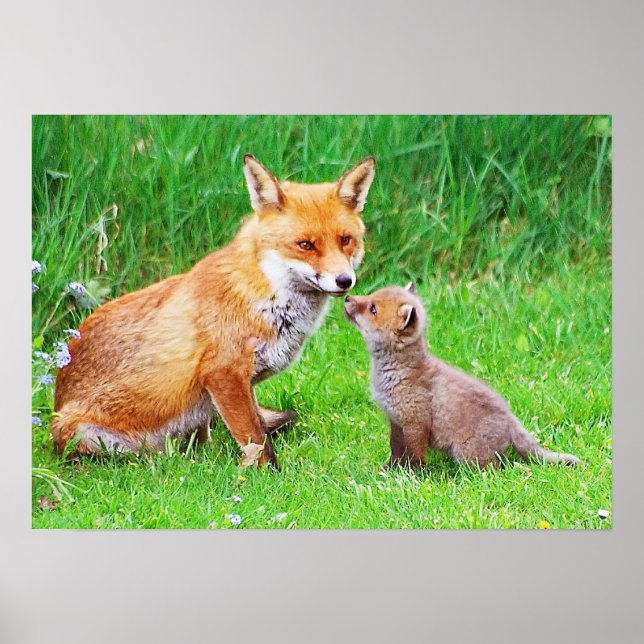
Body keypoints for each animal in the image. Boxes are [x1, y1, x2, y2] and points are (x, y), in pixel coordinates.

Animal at [52, 154, 376, 467]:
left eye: (345, 240)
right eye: (305, 245)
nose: (345, 281)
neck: (263, 295)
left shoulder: (238, 385)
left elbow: (255, 430)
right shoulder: (224, 374)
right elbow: (258, 440)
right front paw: (268, 476)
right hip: (90, 436)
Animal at [344, 284, 580, 469]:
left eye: (373, 309)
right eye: (371, 296)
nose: (347, 297)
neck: (398, 372)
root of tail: (511, 418)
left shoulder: (416, 421)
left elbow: (415, 455)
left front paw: (414, 475)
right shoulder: (395, 420)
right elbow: (396, 450)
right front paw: (390, 470)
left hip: (468, 454)